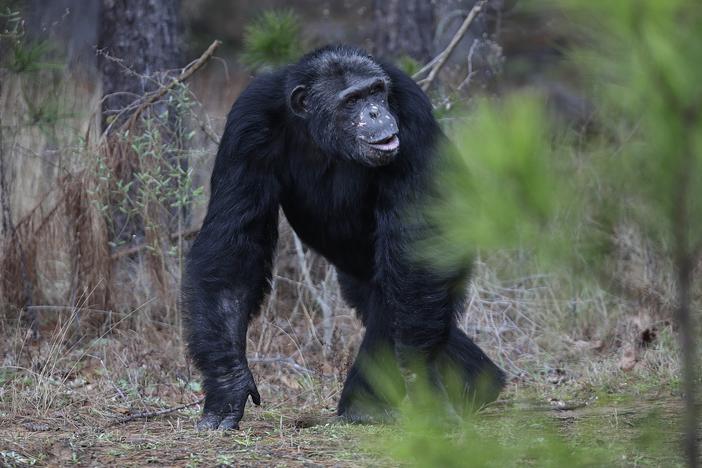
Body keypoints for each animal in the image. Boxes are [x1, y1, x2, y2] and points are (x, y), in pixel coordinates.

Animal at [182, 45, 506, 430]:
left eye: (376, 92)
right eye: (352, 100)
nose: (376, 111)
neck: (318, 130)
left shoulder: (411, 111)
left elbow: (414, 238)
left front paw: (421, 376)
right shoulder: (247, 125)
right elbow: (234, 244)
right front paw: (228, 384)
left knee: (399, 291)